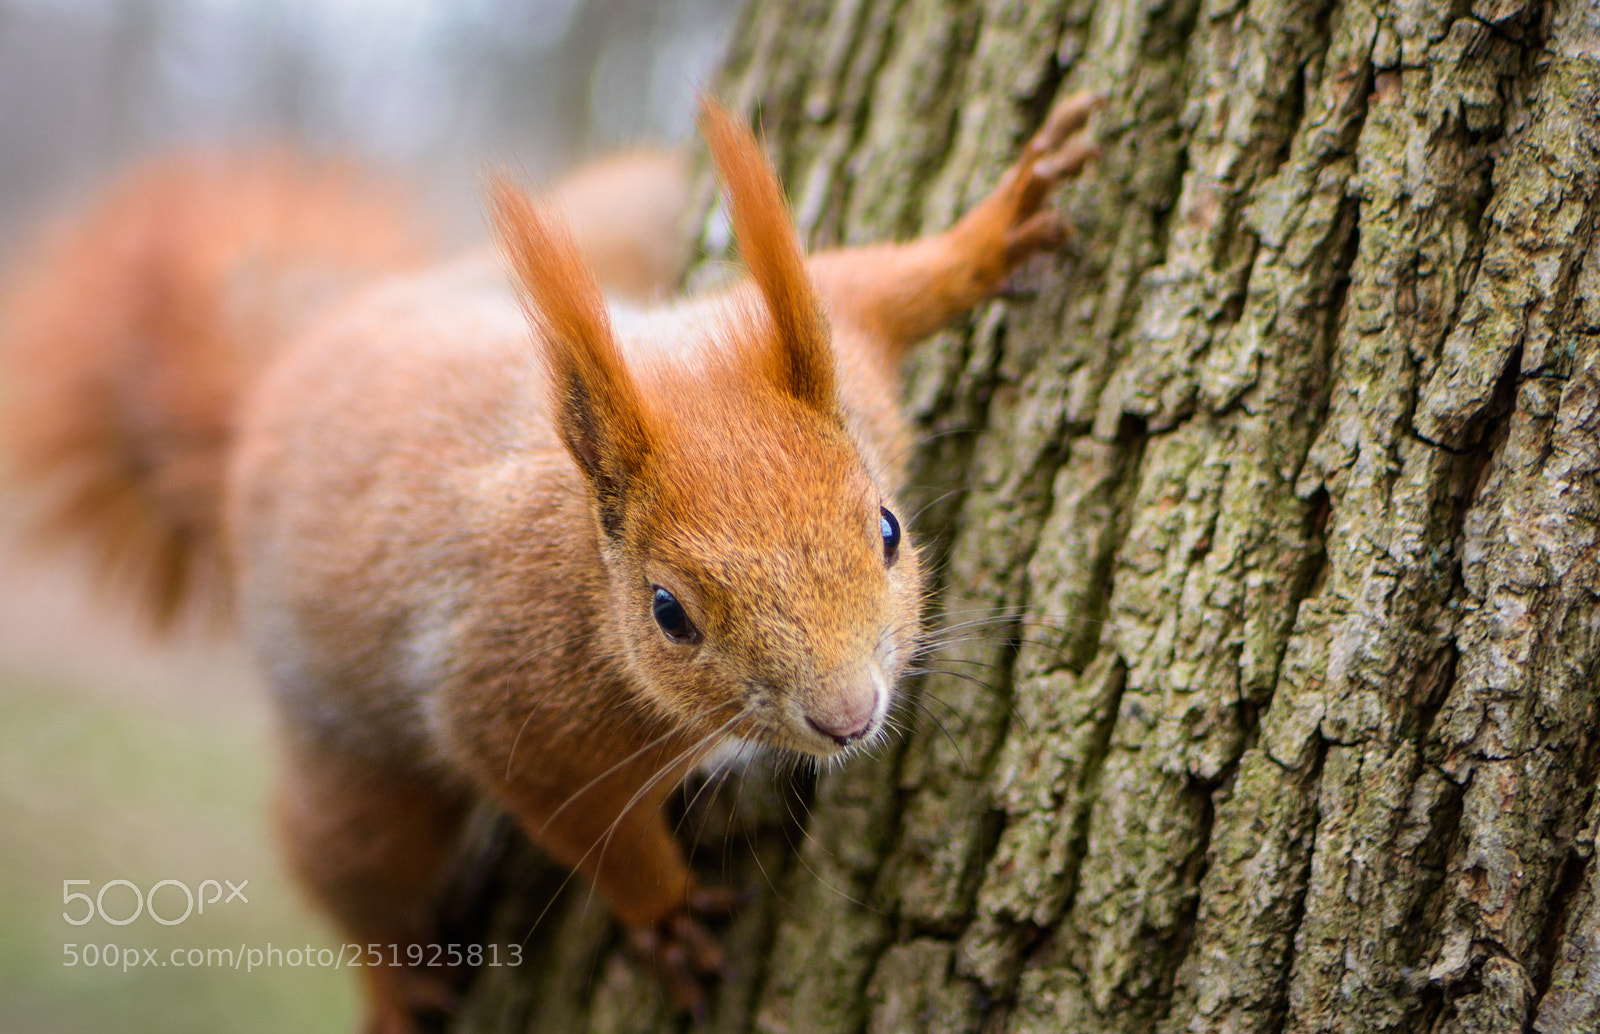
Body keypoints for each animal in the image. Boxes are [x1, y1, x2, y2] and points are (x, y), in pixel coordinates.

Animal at [0, 95, 1100, 1031]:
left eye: (887, 529)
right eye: (668, 611)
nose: (847, 715)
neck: (585, 566)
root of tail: (278, 380)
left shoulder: (824, 357)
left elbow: (866, 284)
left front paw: (997, 228)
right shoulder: (512, 711)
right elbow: (592, 833)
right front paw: (664, 912)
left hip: (612, 224)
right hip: (356, 782)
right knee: (353, 873)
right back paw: (392, 984)